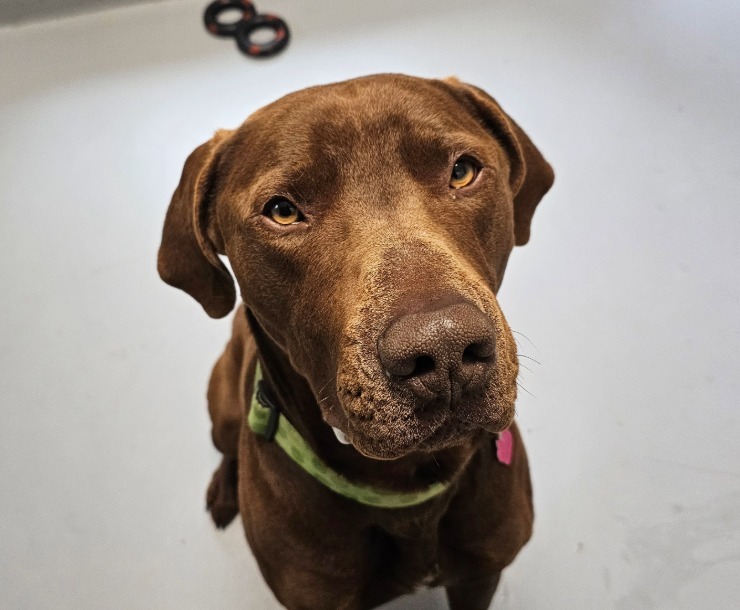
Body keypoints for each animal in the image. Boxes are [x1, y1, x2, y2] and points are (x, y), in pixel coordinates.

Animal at [160, 75, 556, 608]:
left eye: (462, 172)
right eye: (282, 211)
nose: (446, 350)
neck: (407, 491)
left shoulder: (480, 576)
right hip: (222, 405)